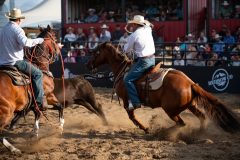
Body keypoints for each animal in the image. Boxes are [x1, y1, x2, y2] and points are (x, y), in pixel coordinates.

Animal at [0, 25, 62, 154]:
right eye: (54, 37)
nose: (59, 50)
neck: (40, 67)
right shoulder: (46, 96)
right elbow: (56, 107)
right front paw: (59, 128)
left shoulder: (33, 102)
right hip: (5, 112)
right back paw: (14, 149)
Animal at [87, 42, 240, 134]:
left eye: (96, 53)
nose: (88, 65)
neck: (122, 70)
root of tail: (190, 83)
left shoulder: (126, 100)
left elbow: (132, 117)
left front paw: (146, 129)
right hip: (190, 105)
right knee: (201, 117)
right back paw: (198, 134)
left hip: (170, 110)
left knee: (181, 123)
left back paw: (162, 132)